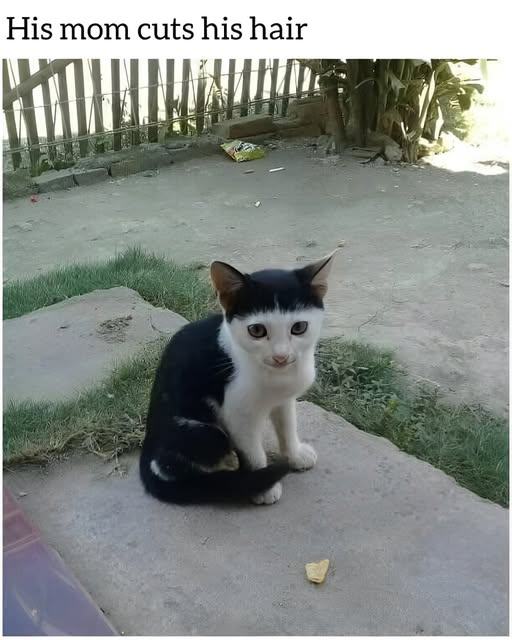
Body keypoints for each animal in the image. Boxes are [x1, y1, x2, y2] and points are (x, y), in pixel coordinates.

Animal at [139, 250, 336, 504]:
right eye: (257, 330)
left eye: (299, 327)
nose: (281, 357)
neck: (276, 376)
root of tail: (148, 444)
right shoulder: (237, 414)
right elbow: (253, 452)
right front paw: (262, 486)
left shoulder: (284, 400)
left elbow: (287, 427)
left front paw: (295, 455)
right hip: (204, 433)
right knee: (170, 464)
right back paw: (228, 471)